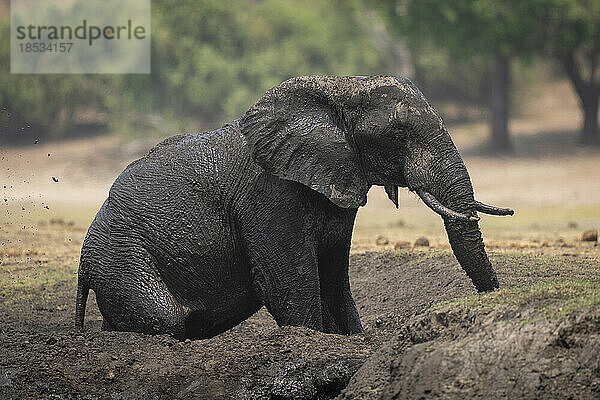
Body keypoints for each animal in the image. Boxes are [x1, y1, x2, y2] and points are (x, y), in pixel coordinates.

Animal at [75, 75, 512, 338]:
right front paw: (312, 339)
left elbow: (334, 277)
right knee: (165, 318)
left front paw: (351, 338)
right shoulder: (270, 195)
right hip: (121, 256)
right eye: (399, 134)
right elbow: (288, 280)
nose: (492, 296)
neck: (342, 87)